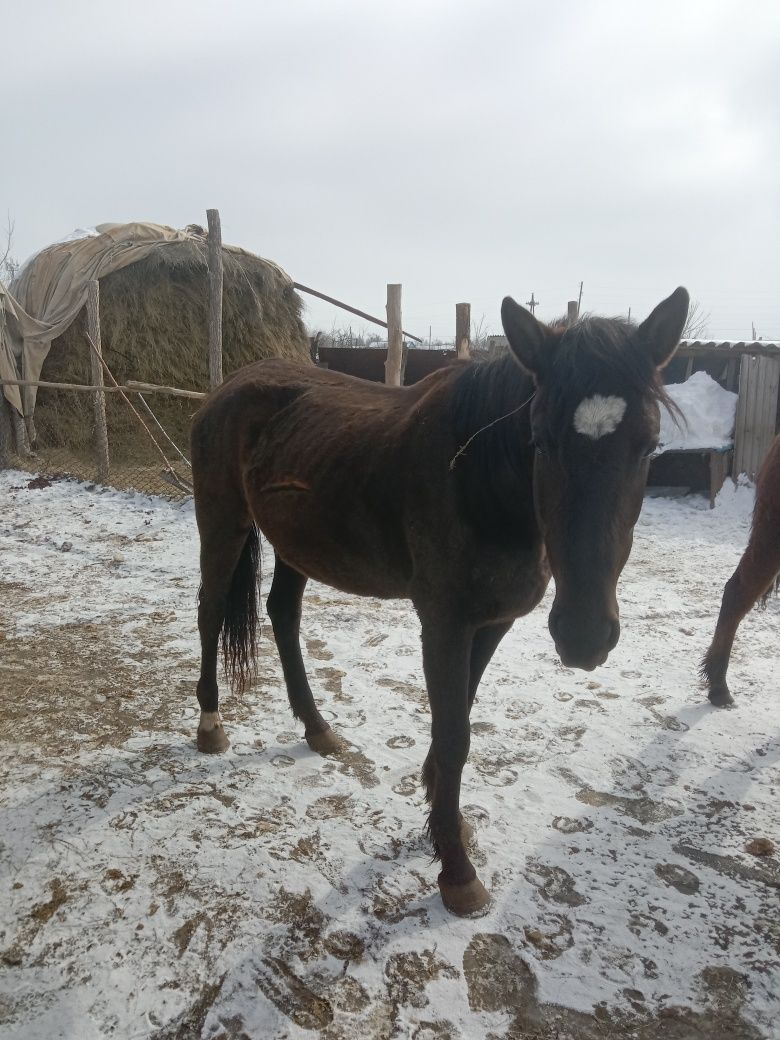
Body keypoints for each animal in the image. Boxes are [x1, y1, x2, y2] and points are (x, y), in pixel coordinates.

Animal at [189, 289, 690, 915]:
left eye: (648, 446)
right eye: (541, 440)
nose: (584, 636)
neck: (477, 480)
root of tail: (228, 387)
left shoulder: (491, 623)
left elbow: (460, 716)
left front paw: (438, 810)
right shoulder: (444, 624)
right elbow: (455, 735)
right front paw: (456, 868)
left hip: (296, 543)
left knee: (283, 615)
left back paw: (317, 727)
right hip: (224, 523)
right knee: (210, 611)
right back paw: (210, 724)